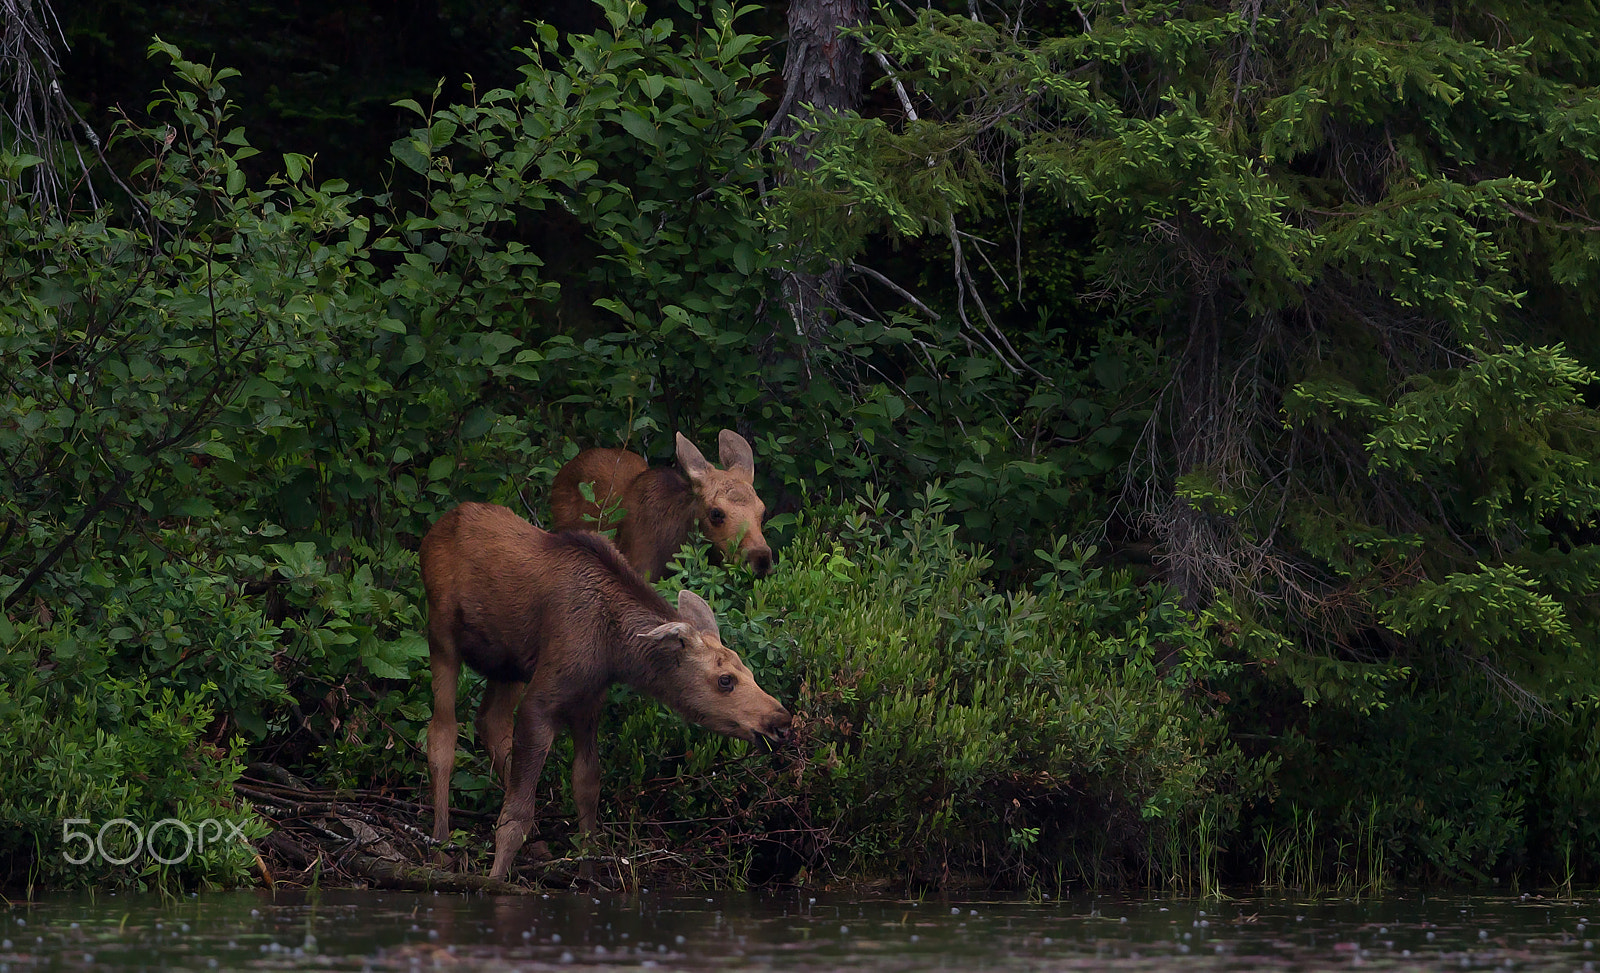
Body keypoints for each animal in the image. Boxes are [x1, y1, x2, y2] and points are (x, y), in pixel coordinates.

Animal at [419, 501, 792, 881]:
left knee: (490, 723)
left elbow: (587, 788)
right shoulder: (540, 703)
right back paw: (440, 849)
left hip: (508, 664)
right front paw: (496, 880)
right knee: (442, 734)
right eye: (725, 680)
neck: (613, 649)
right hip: (442, 635)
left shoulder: (589, 702)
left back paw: (537, 848)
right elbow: (516, 817)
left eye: (748, 671)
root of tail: (438, 526)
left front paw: (586, 876)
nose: (781, 720)